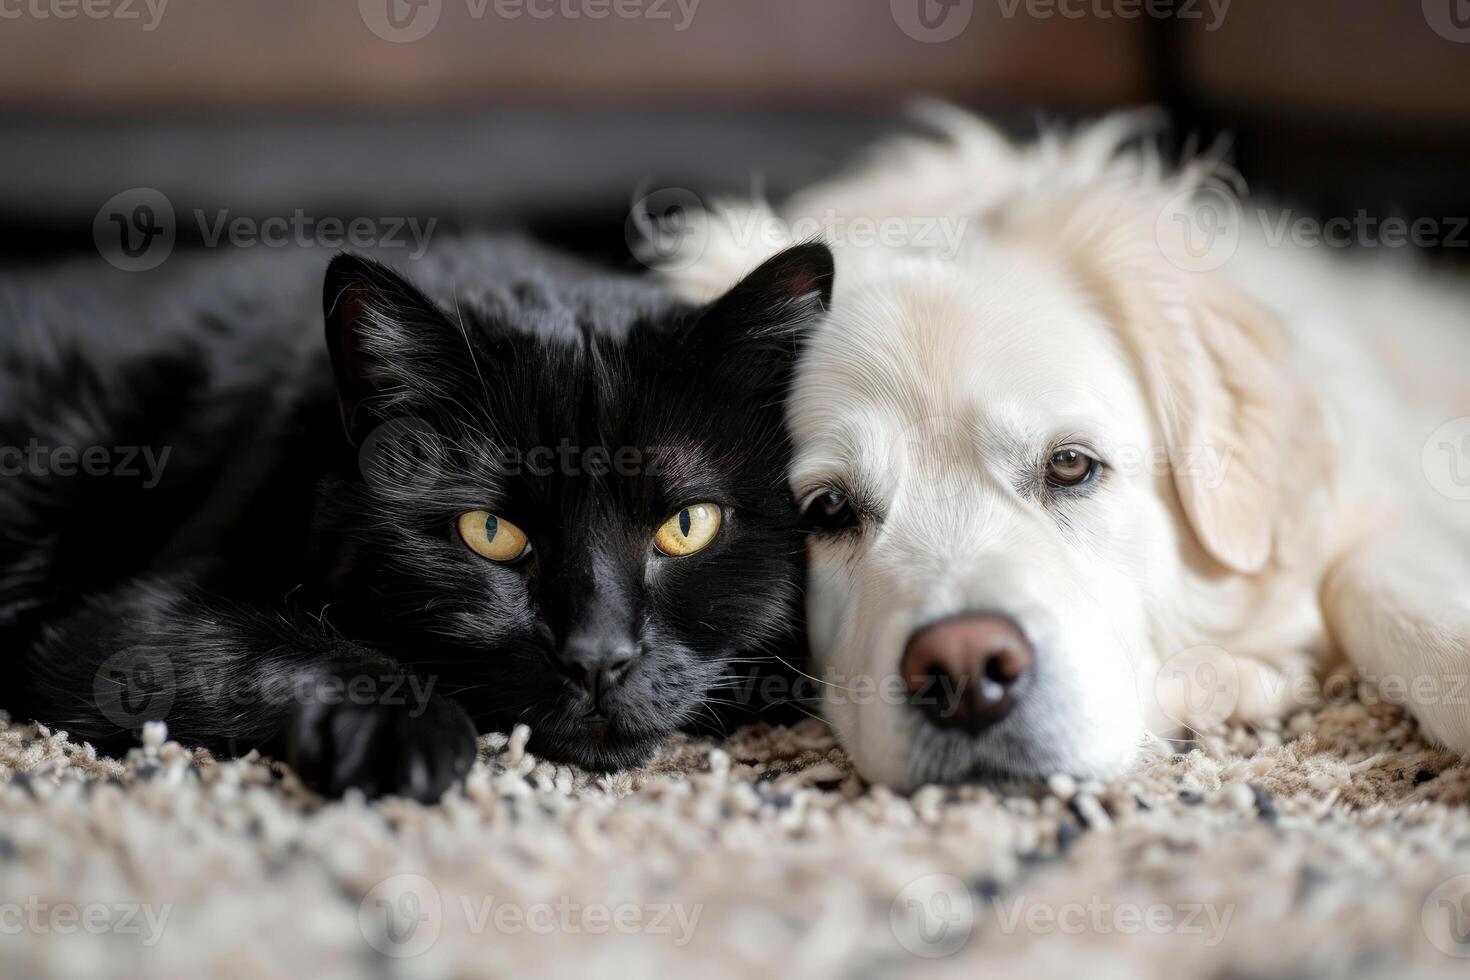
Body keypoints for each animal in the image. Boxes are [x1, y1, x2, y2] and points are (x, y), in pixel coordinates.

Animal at [0, 235, 829, 799]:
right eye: (489, 533)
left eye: (686, 527)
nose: (598, 657)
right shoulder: (123, 628)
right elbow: (276, 643)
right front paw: (406, 732)